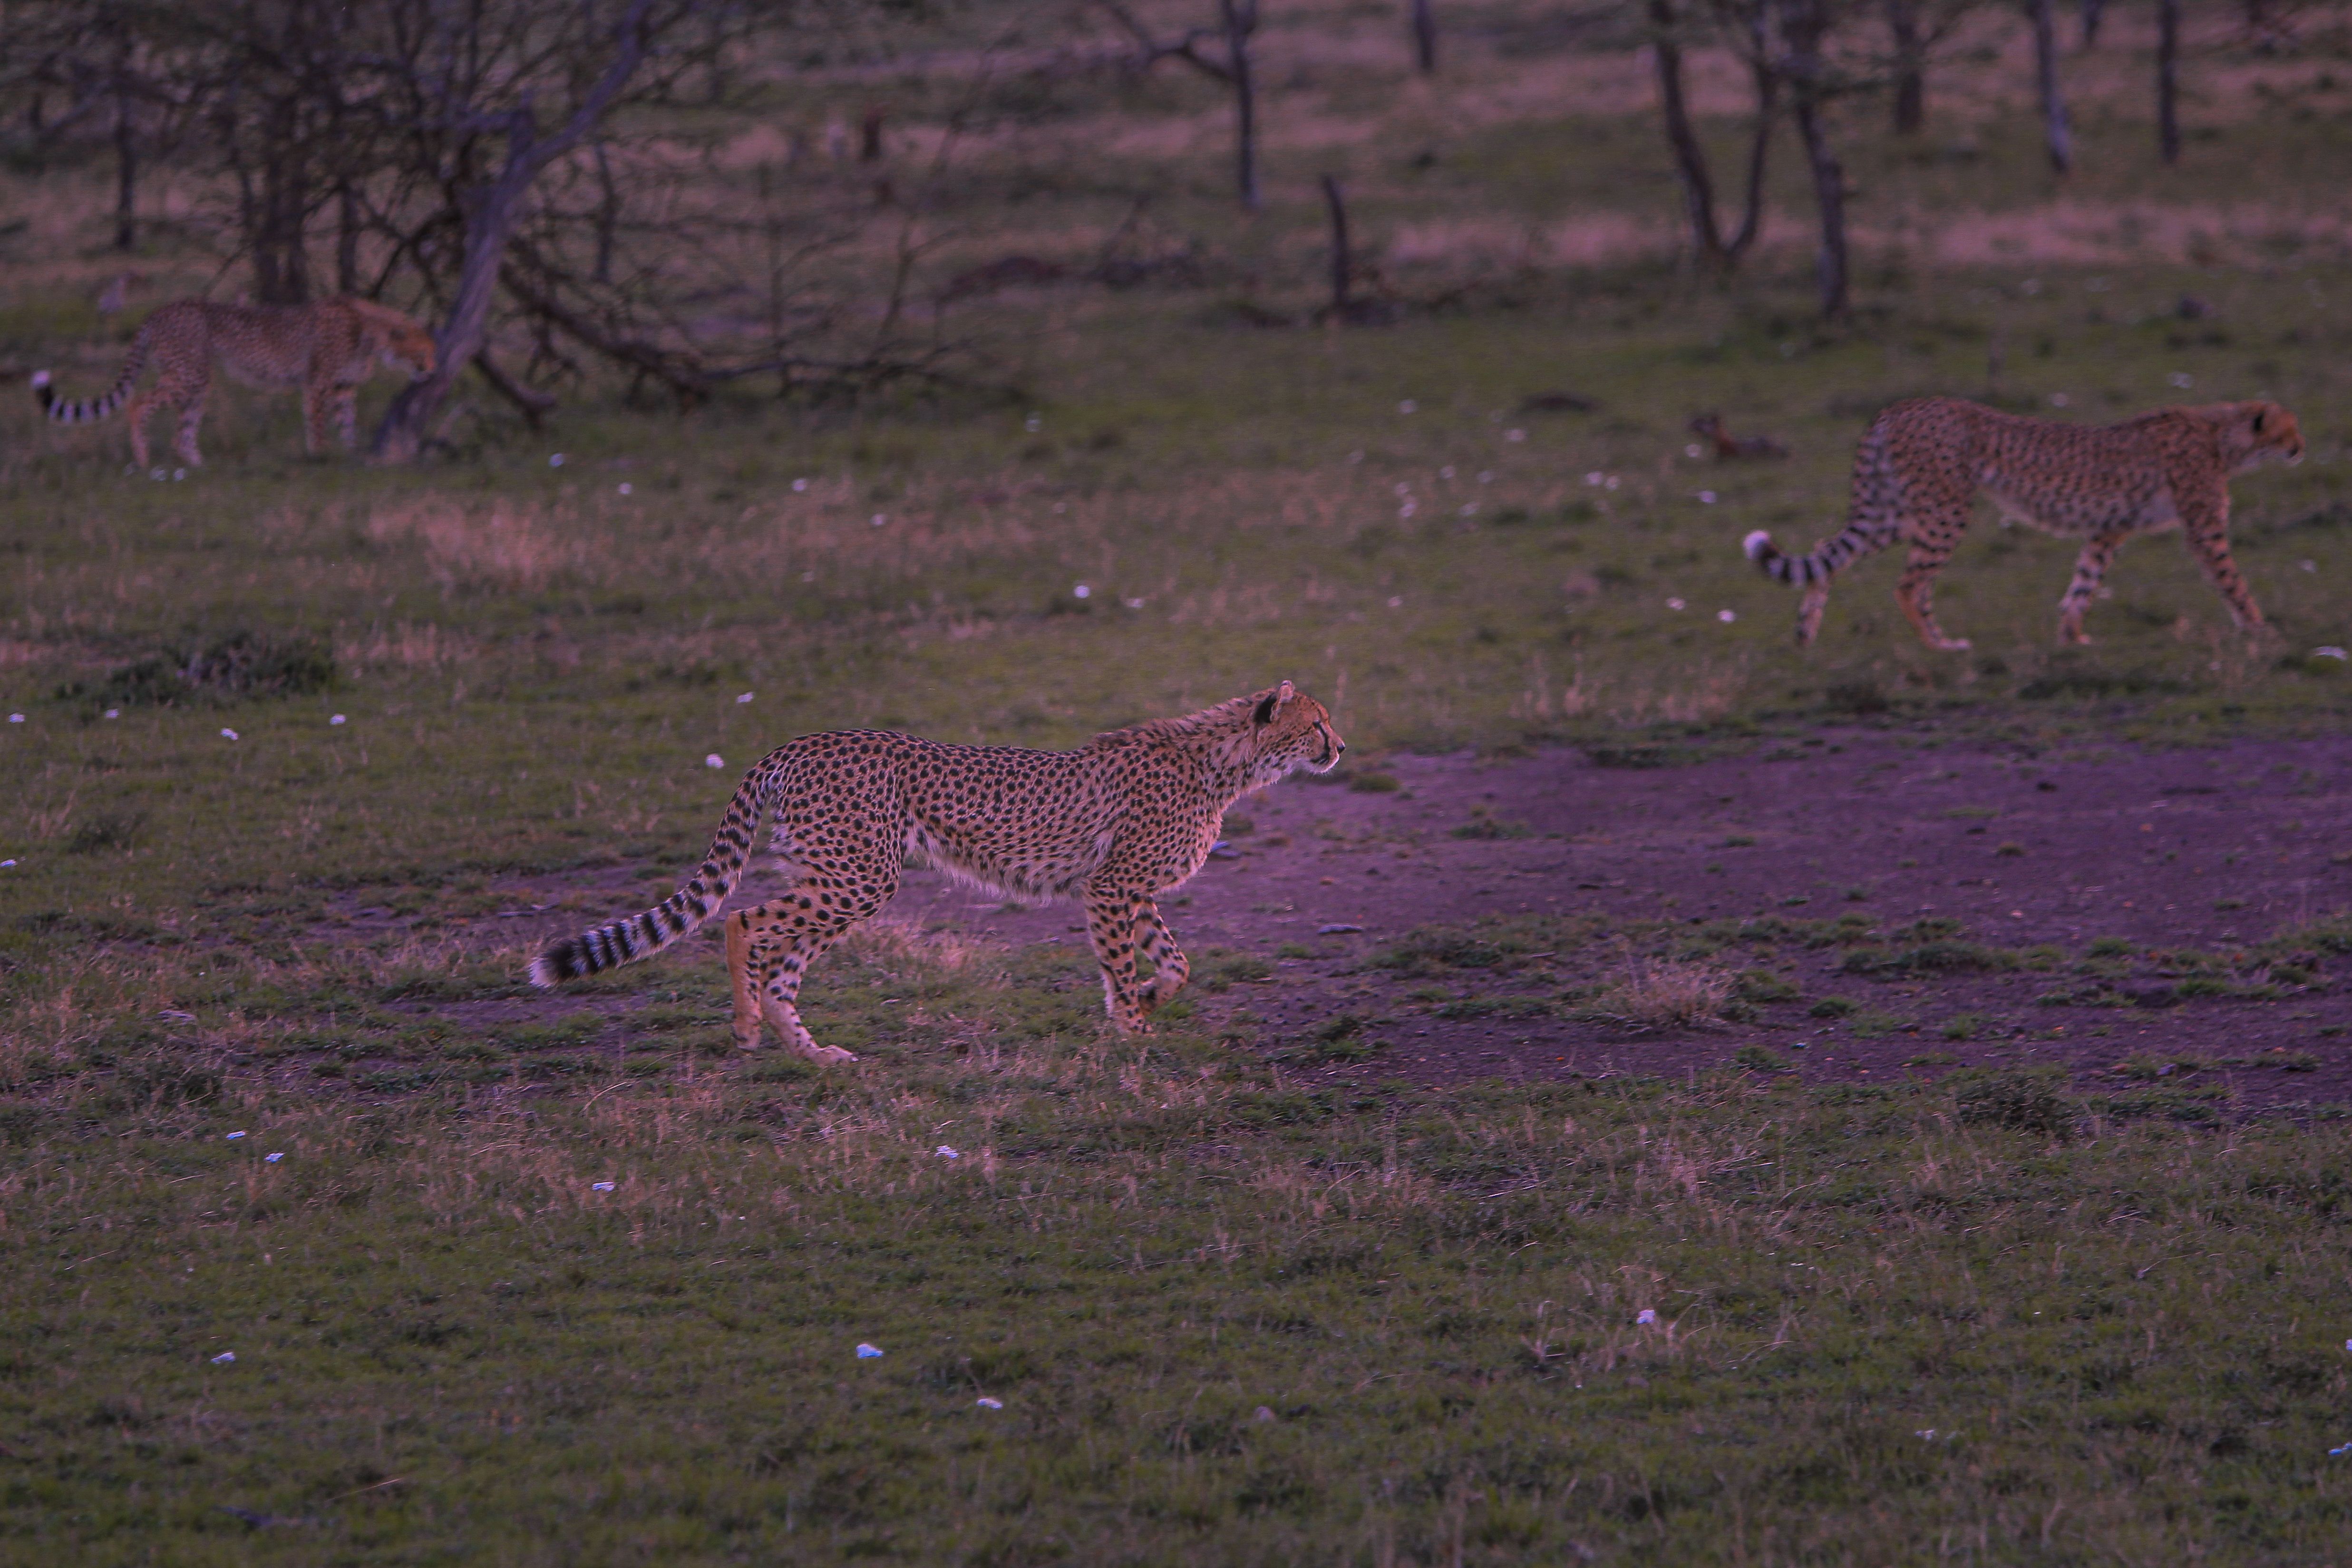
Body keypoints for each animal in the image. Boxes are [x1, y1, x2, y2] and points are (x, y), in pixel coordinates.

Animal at [33, 296, 436, 468]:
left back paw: (197, 463)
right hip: (190, 373)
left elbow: (348, 424)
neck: (371, 332)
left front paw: (354, 455)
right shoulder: (318, 383)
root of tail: (159, 310)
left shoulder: (343, 388)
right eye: (423, 353)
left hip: (198, 382)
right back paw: (144, 458)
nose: (432, 370)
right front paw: (320, 457)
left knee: (183, 430)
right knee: (138, 402)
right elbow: (318, 425)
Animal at [530, 681, 1345, 1063]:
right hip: (858, 874)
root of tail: (798, 742)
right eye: (1316, 722)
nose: (1340, 747)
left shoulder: (1129, 889)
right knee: (743, 921)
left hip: (841, 876)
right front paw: (1135, 1032)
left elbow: (1176, 963)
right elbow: (1123, 963)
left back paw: (814, 1054)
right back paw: (747, 1025)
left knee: (783, 961)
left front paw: (1143, 1001)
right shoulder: (1111, 886)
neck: (1225, 764)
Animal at [1741, 396, 2304, 650]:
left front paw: (2072, 637)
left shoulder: (2108, 529)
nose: (2301, 448)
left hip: (1897, 510)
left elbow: (2084, 581)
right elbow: (2233, 581)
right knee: (1909, 583)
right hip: (1944, 510)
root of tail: (1901, 405)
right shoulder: (2203, 529)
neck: (2221, 435)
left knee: (1827, 550)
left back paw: (1805, 632)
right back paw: (1939, 645)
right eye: (2288, 430)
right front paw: (2262, 628)